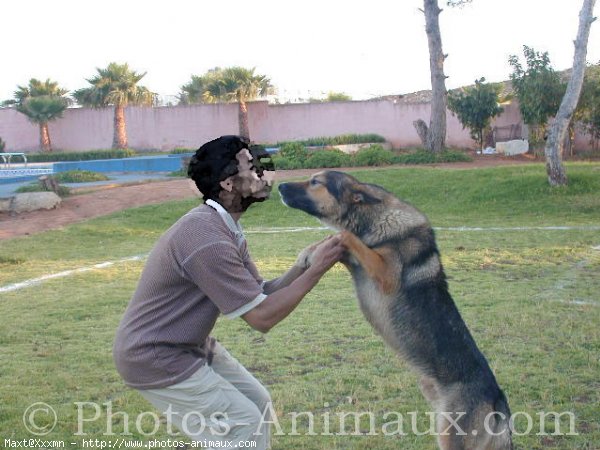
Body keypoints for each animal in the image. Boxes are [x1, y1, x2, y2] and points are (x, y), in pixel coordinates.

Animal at [278, 171, 512, 450]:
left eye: (316, 182)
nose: (279, 185)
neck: (376, 219)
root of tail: (498, 401)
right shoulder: (353, 259)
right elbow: (334, 239)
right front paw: (309, 253)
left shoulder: (385, 274)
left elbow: (345, 235)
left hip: (450, 437)